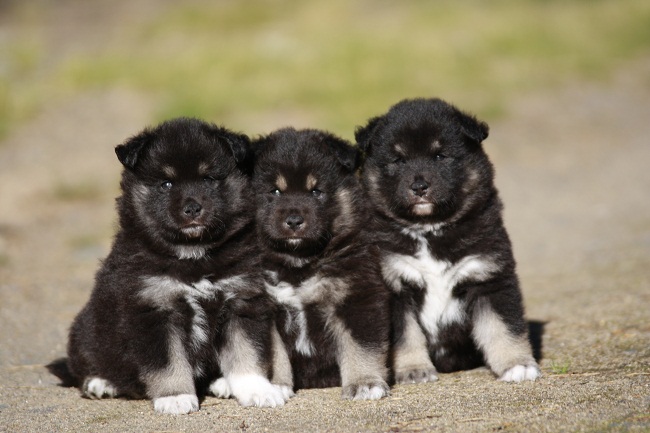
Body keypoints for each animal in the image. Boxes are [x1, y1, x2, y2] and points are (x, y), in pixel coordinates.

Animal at [66, 118, 291, 414]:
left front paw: (258, 391)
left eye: (208, 179)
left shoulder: (240, 301)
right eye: (167, 183)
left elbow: (247, 354)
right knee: (88, 364)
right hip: (86, 331)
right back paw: (101, 383)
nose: (192, 208)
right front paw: (175, 397)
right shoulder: (154, 310)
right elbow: (168, 363)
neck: (193, 254)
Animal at [251, 128, 391, 400]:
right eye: (275, 191)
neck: (298, 263)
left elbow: (361, 346)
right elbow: (274, 354)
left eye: (316, 191)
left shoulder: (355, 297)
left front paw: (365, 383)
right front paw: (273, 386)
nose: (294, 220)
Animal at [356, 98, 540, 383]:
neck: (430, 229)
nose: (419, 187)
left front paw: (517, 365)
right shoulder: (395, 286)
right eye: (398, 160)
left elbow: (503, 327)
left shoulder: (489, 277)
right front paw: (414, 370)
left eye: (439, 156)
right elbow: (406, 336)